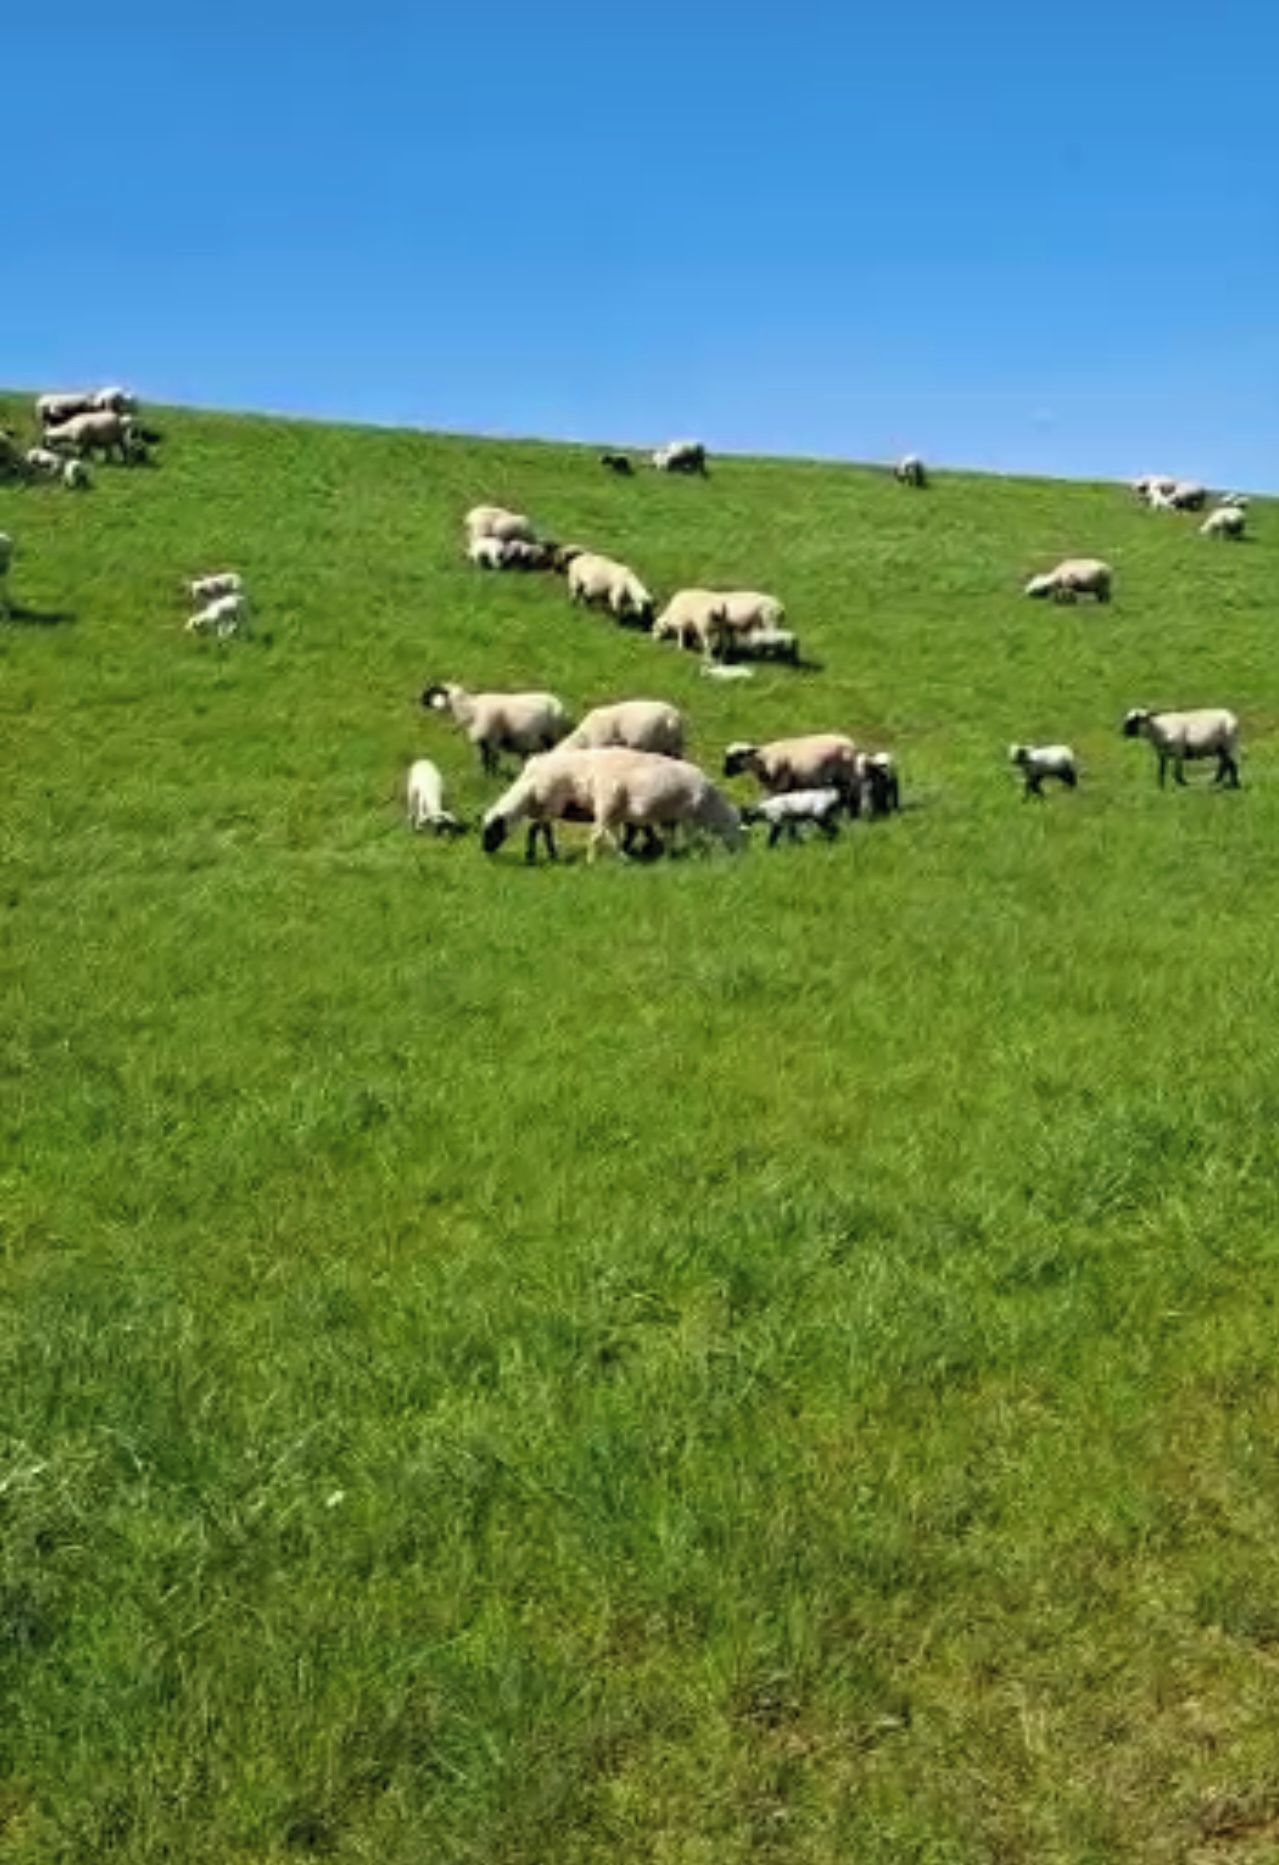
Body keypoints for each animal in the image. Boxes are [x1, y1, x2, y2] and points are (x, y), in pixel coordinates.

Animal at [421, 682, 569, 776]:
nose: (421, 702)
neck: (470, 709)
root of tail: (559, 704)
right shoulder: (481, 743)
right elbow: (483, 760)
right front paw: (484, 777)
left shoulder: (493, 739)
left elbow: (493, 760)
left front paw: (493, 778)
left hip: (552, 735)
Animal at [724, 734, 862, 809]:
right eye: (726, 756)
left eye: (740, 754)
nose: (726, 773)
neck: (764, 761)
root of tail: (850, 742)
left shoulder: (781, 787)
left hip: (846, 775)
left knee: (853, 797)